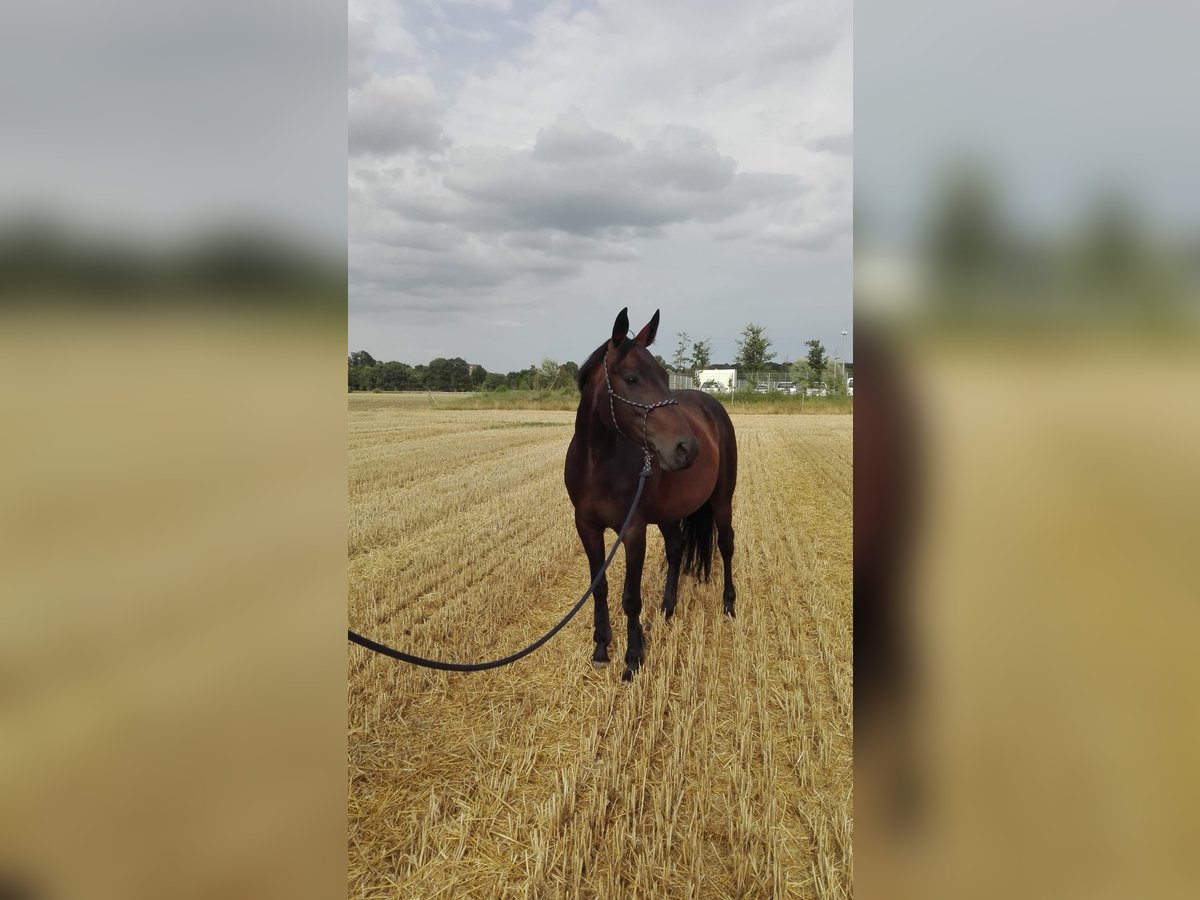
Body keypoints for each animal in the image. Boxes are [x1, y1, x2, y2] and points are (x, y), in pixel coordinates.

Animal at [564, 307, 739, 681]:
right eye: (631, 379)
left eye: (663, 375)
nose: (688, 449)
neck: (597, 462)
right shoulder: (586, 526)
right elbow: (599, 586)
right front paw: (601, 649)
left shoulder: (633, 531)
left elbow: (631, 598)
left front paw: (633, 659)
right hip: (671, 513)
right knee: (676, 549)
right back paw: (668, 607)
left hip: (722, 500)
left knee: (726, 545)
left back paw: (729, 604)